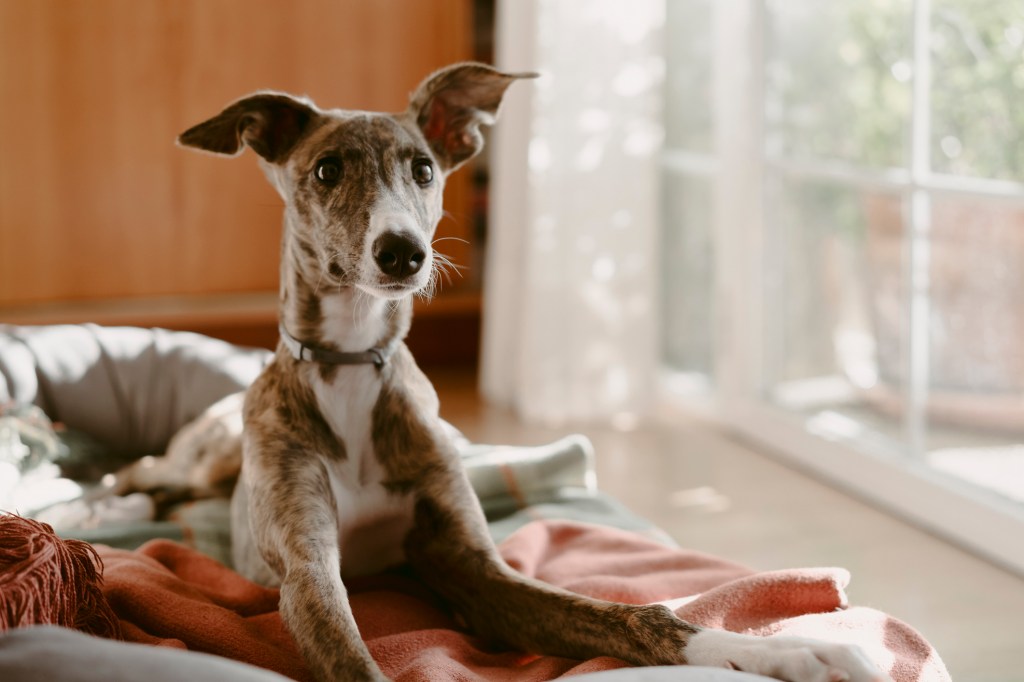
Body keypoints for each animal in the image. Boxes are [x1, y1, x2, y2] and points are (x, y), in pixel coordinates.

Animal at [176, 63, 888, 679]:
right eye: (327, 169)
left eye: (424, 169)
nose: (404, 253)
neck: (351, 362)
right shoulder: (308, 570)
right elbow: (352, 654)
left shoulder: (476, 570)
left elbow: (637, 618)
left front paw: (792, 650)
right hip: (208, 458)